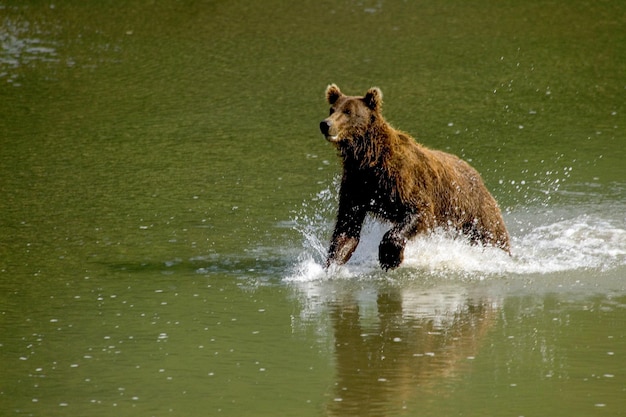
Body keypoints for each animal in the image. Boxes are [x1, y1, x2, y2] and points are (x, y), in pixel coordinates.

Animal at [316, 84, 508, 270]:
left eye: (348, 112)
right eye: (332, 109)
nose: (325, 124)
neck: (369, 158)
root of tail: (477, 175)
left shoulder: (402, 180)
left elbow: (418, 210)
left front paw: (390, 257)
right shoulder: (357, 186)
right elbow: (347, 228)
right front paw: (331, 264)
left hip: (473, 209)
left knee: (493, 235)